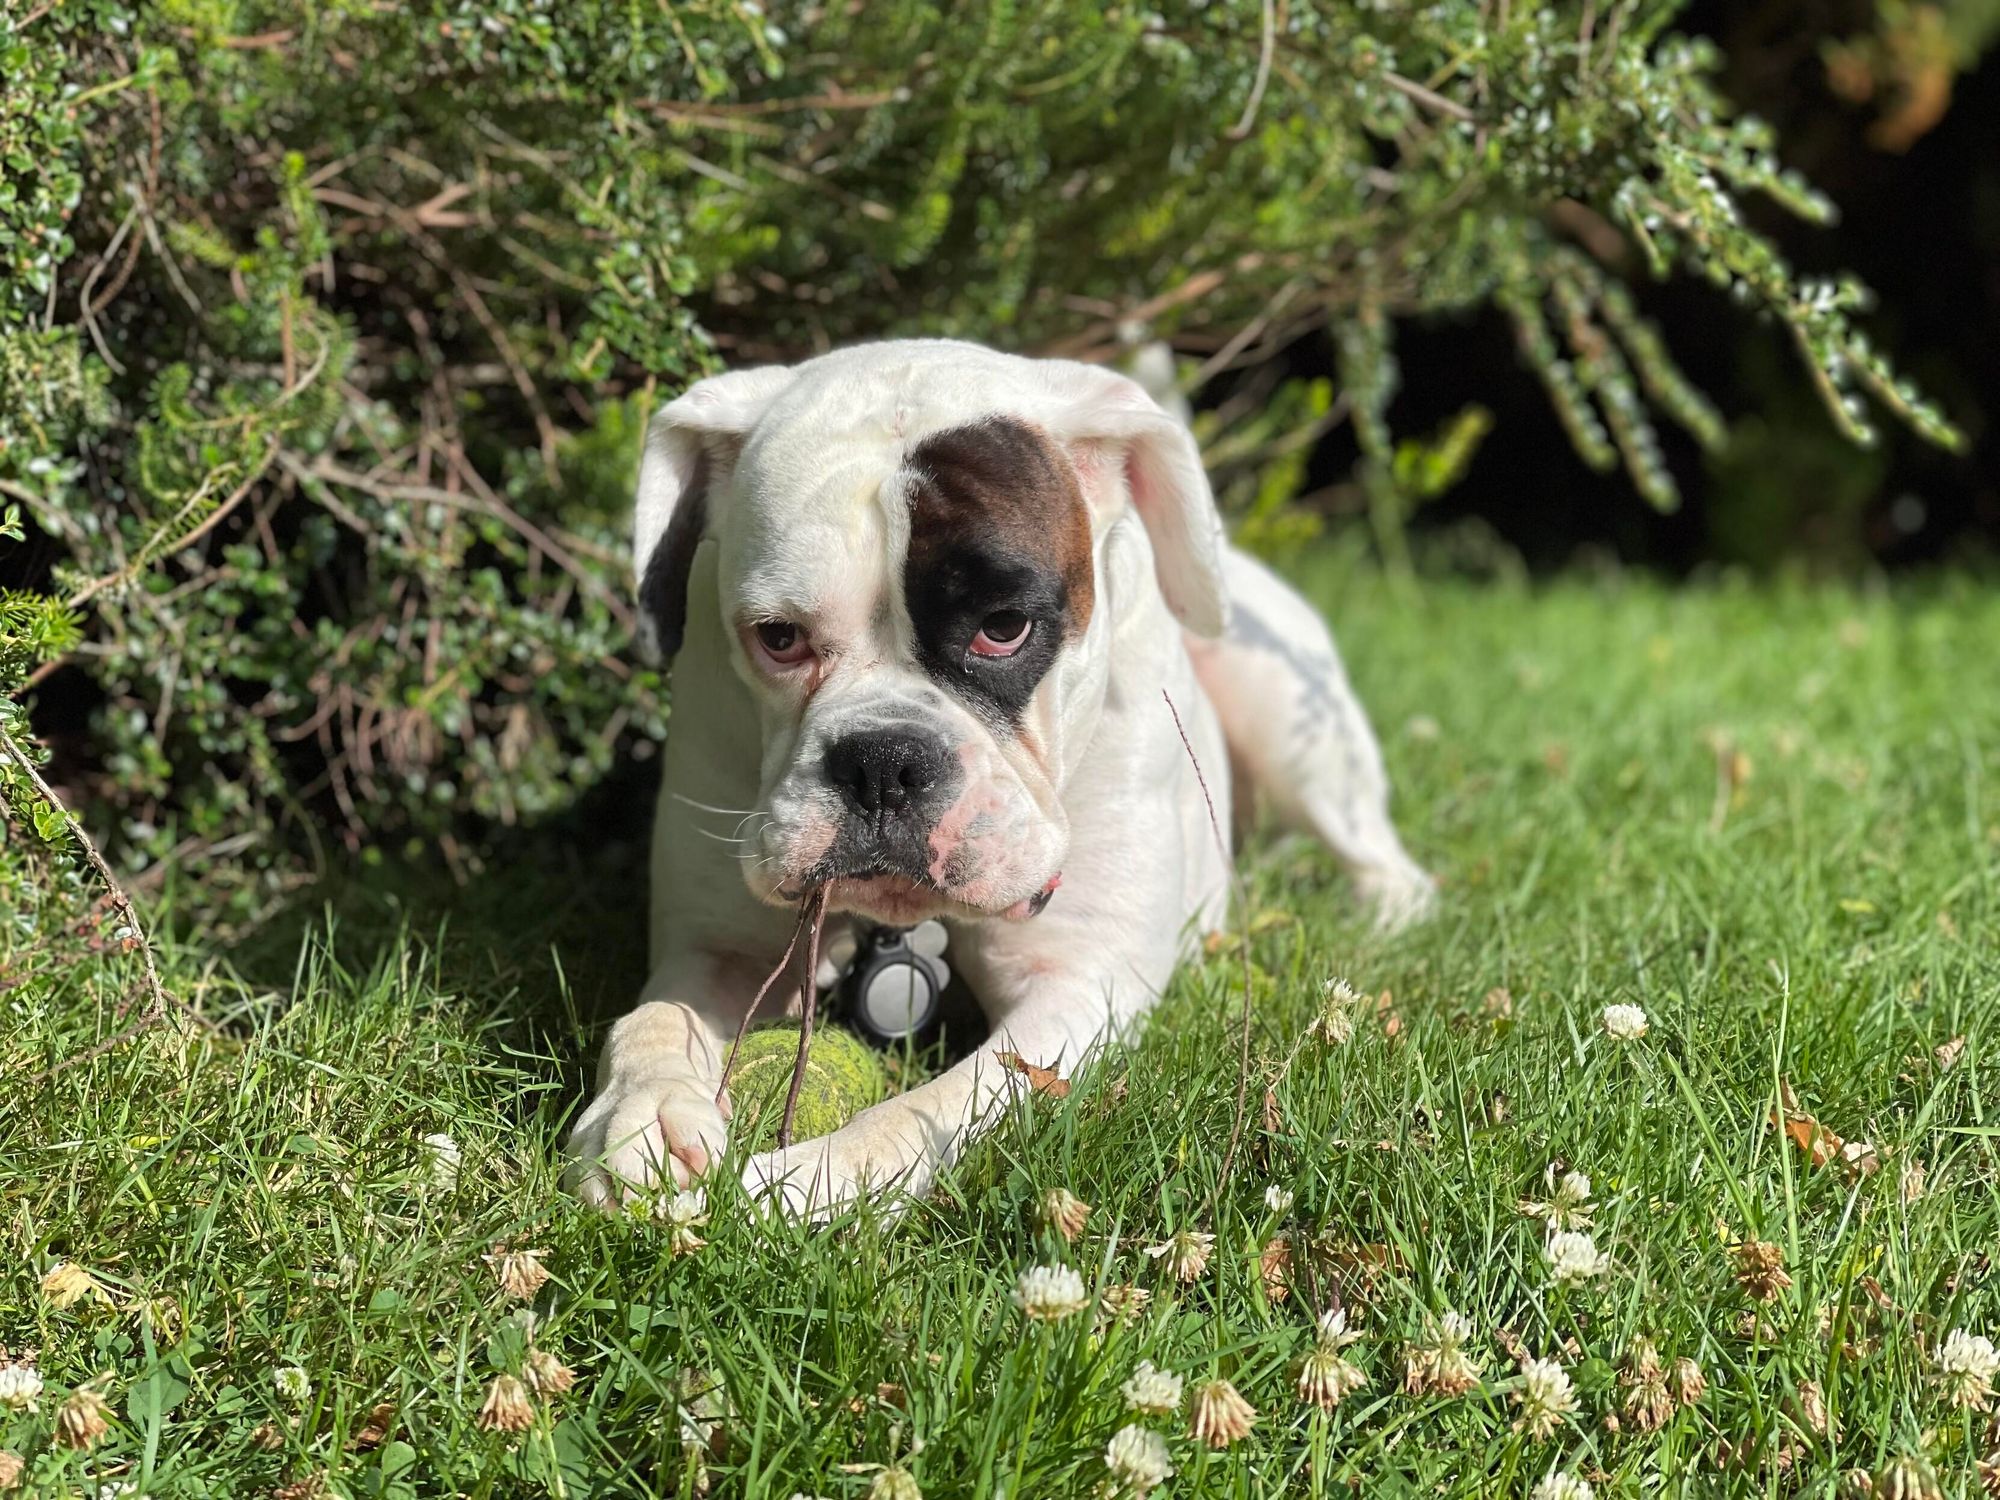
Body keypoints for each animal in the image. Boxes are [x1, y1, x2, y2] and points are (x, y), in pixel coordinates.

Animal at [572, 340, 1432, 1224]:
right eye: (778, 638)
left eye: (1004, 628)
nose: (882, 761)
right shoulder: (715, 949)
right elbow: (654, 1020)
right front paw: (641, 1120)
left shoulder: (1076, 989)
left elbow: (934, 1104)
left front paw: (805, 1184)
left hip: (1286, 716)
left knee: (1388, 864)